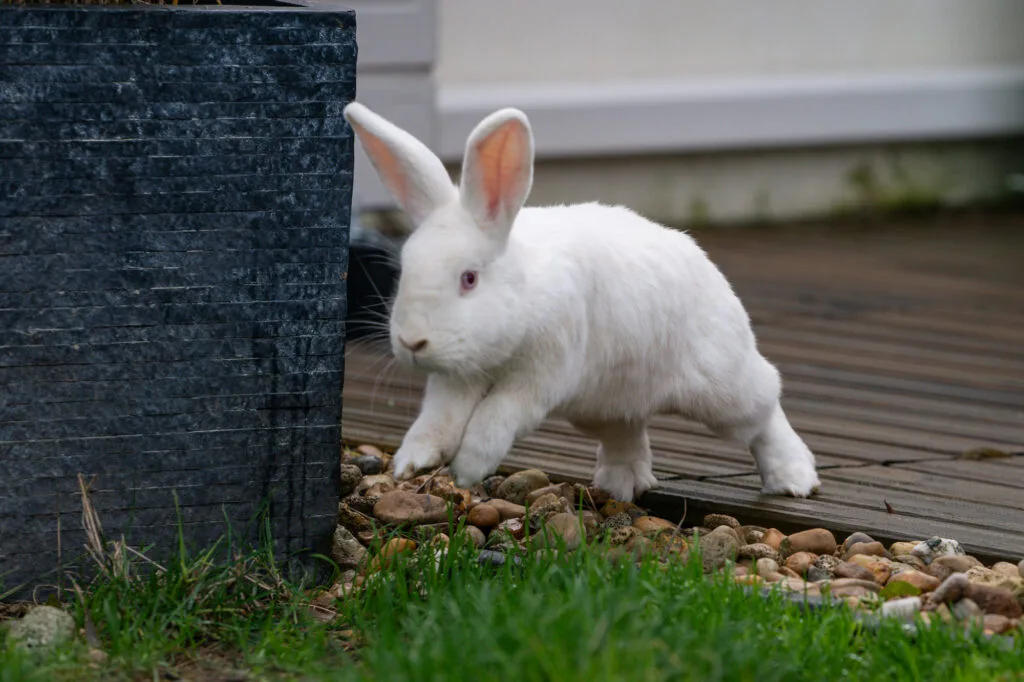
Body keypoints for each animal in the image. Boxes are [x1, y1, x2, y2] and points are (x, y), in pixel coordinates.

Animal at [342, 101, 821, 502]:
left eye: (469, 279)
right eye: (405, 269)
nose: (412, 342)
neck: (525, 290)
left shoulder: (542, 374)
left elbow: (496, 417)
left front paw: (469, 470)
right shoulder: (455, 379)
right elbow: (438, 419)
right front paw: (412, 462)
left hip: (720, 386)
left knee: (764, 406)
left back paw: (794, 478)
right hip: (604, 402)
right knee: (627, 430)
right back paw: (622, 484)